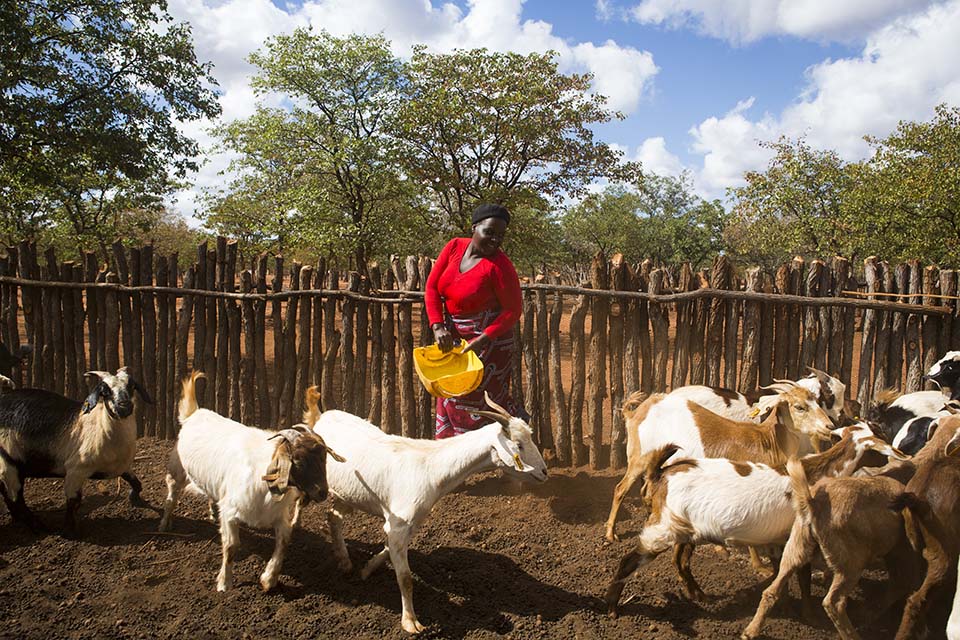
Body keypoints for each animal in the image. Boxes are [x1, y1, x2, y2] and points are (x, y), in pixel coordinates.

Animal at [0, 368, 152, 532]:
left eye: (131, 386)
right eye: (105, 391)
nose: (123, 406)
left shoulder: (121, 467)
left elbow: (136, 482)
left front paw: (135, 498)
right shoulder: (75, 470)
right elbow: (73, 501)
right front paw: (68, 530)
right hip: (7, 465)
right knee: (15, 499)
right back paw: (40, 527)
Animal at [161, 372, 344, 592]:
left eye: (324, 458)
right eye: (298, 460)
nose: (322, 492)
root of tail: (194, 413)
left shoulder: (278, 516)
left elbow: (284, 542)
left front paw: (269, 579)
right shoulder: (231, 513)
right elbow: (231, 547)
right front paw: (224, 583)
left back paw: (212, 513)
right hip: (177, 471)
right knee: (172, 495)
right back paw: (164, 524)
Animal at [308, 384, 548, 636]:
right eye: (519, 444)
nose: (544, 472)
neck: (429, 466)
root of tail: (321, 417)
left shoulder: (411, 522)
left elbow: (387, 548)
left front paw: (367, 569)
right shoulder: (398, 524)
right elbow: (405, 578)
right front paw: (411, 623)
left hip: (347, 494)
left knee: (333, 516)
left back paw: (345, 562)